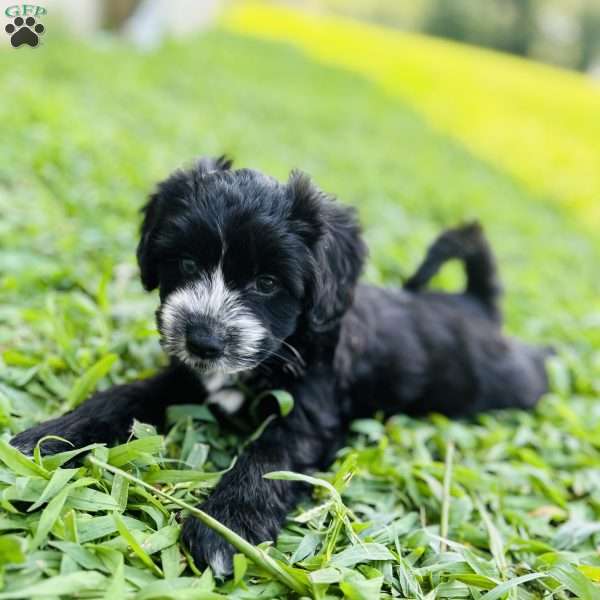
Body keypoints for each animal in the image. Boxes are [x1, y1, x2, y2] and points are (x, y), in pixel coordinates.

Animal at [11, 158, 552, 576]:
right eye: (185, 264)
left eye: (268, 283)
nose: (203, 339)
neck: (279, 350)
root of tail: (476, 305)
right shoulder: (184, 379)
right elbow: (124, 396)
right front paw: (47, 439)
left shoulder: (309, 413)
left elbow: (268, 457)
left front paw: (224, 529)